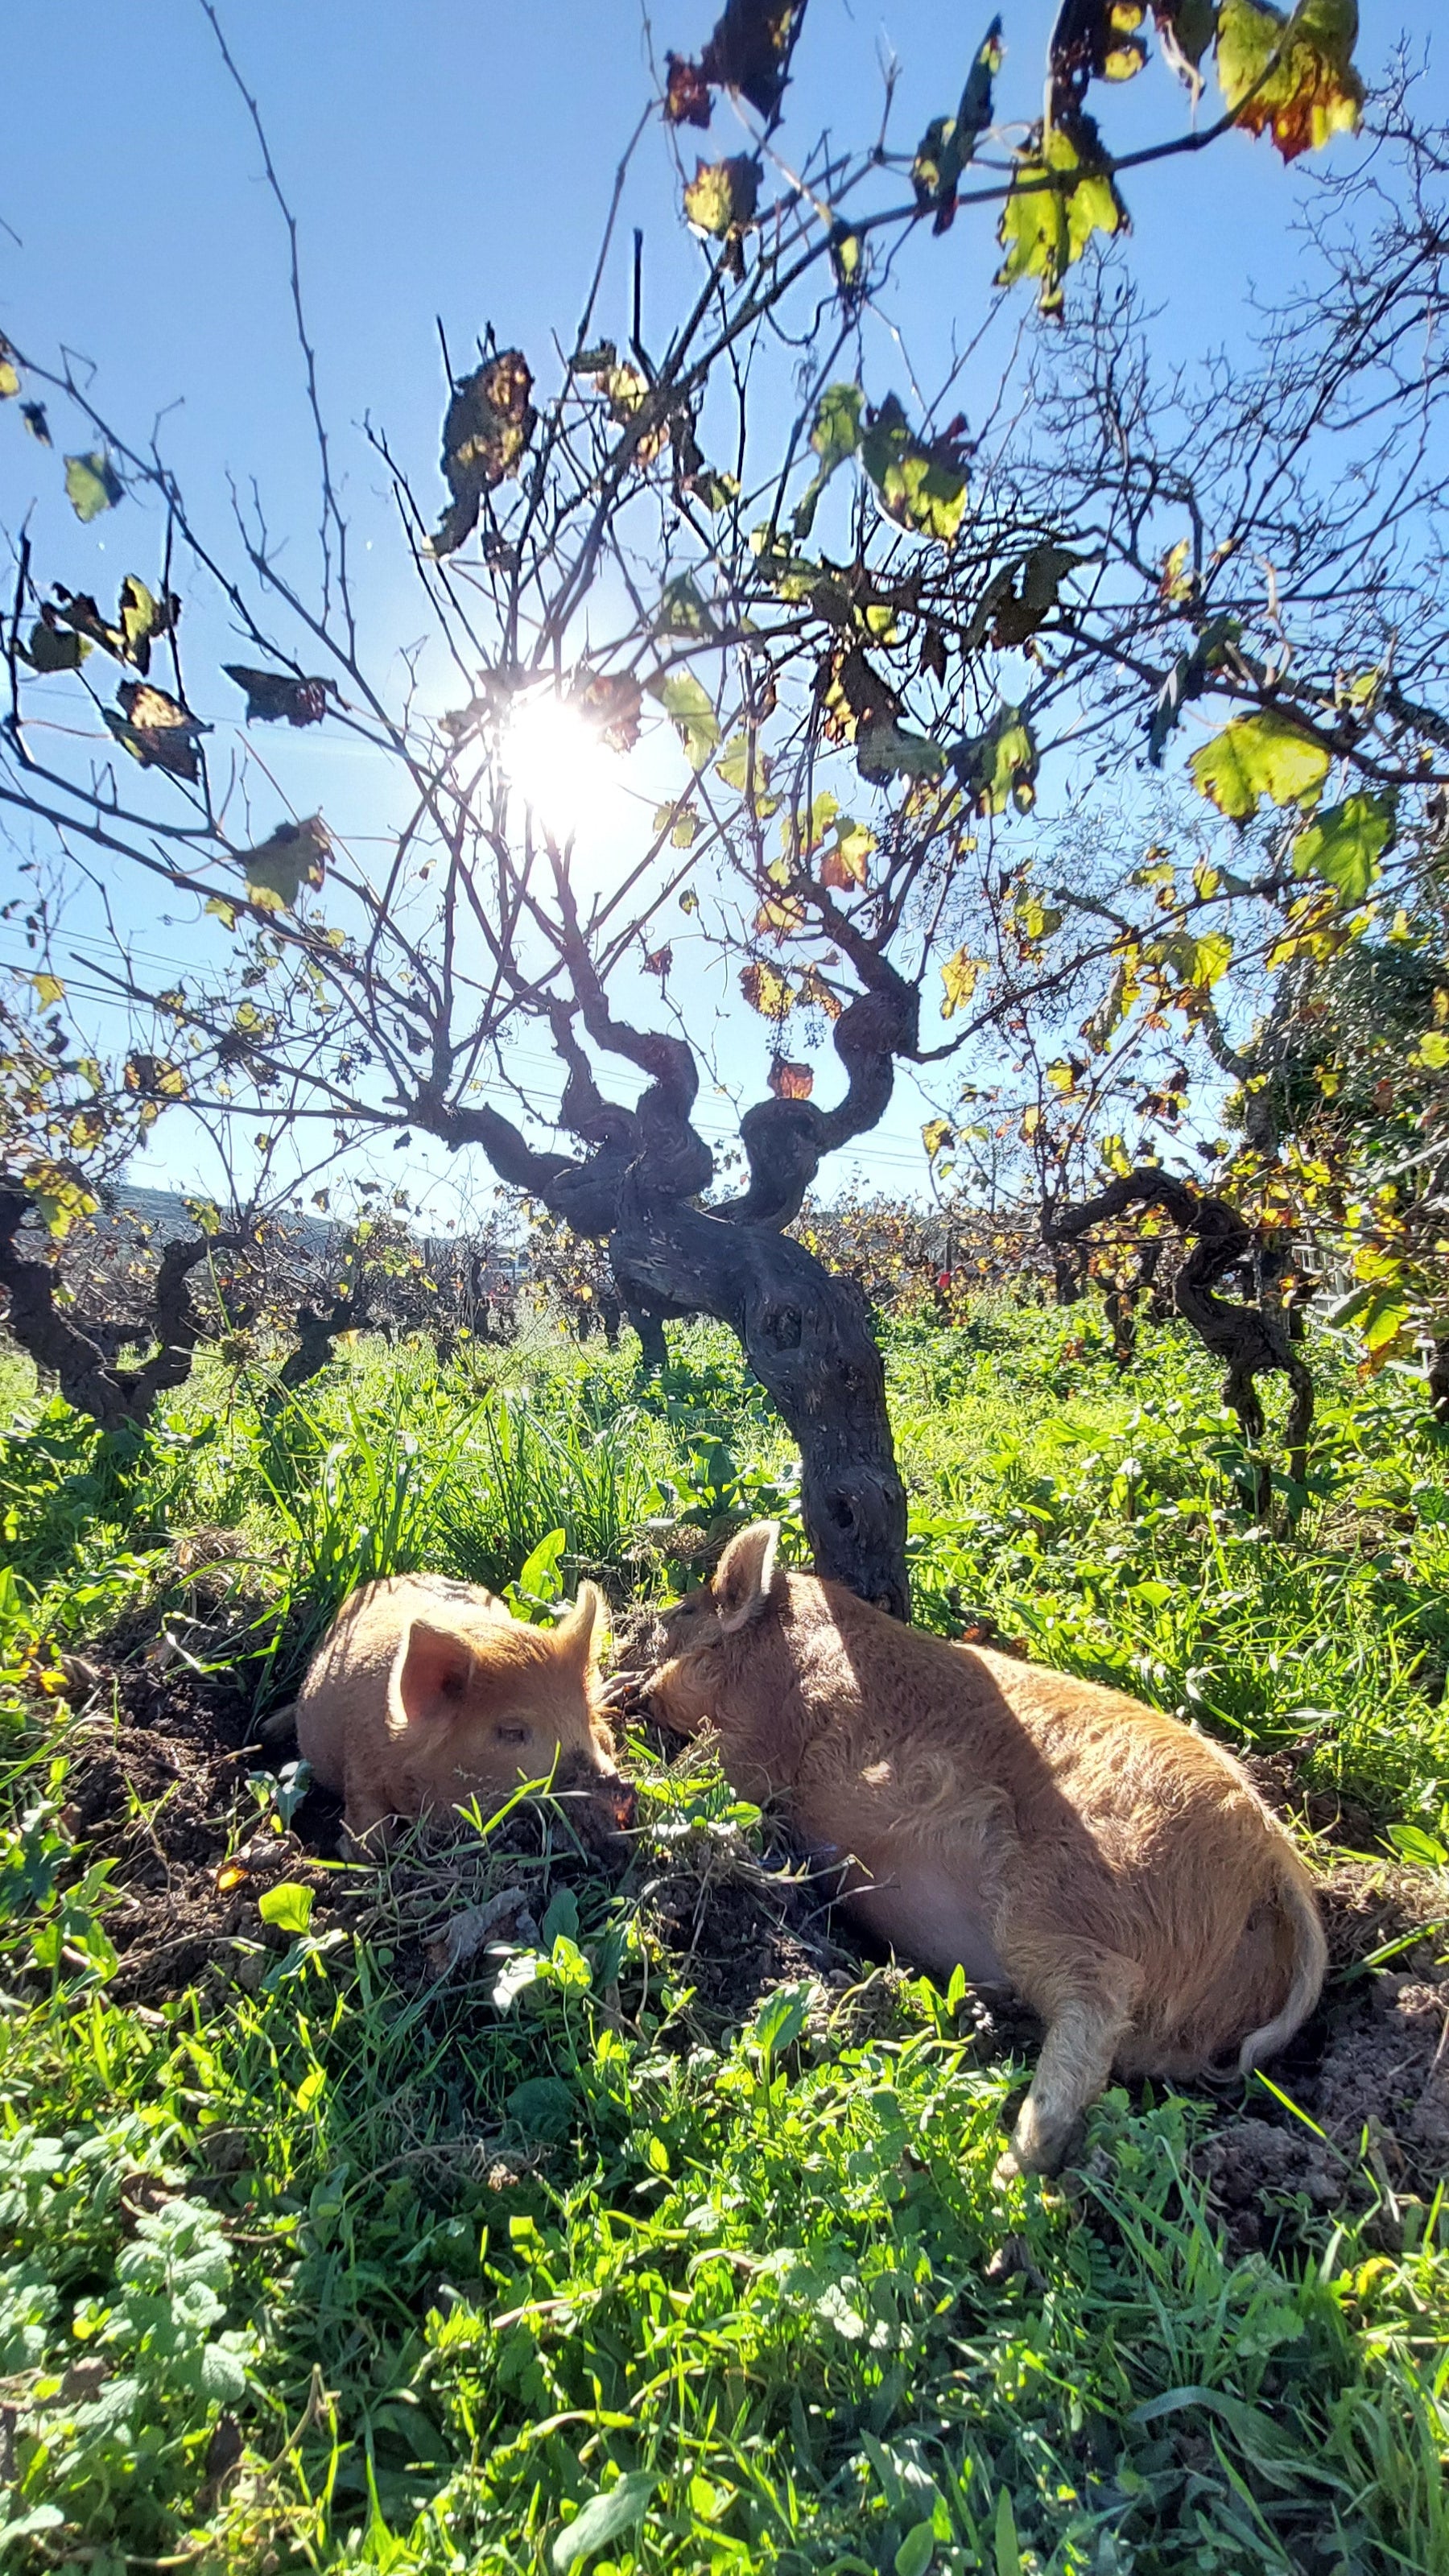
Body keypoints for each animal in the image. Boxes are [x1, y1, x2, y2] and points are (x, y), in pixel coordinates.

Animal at [295, 1571, 632, 1842]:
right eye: (511, 1731)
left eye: (586, 1719)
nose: (613, 1781)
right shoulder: (359, 1757)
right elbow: (368, 1826)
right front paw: (354, 1852)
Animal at [640, 1522, 1326, 2177]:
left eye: (684, 1612)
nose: (641, 1682)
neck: (769, 1646)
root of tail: (1273, 1862)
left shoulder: (759, 1740)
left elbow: (703, 1774)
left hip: (1060, 1897)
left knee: (1101, 1993)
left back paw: (1005, 2171)